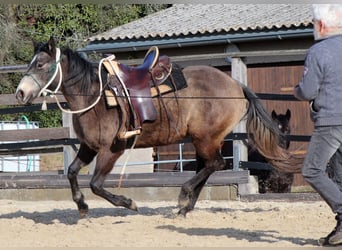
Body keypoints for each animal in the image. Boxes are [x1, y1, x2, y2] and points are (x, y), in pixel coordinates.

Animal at [14, 36, 302, 217]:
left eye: (40, 64)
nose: (20, 93)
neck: (94, 96)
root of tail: (236, 86)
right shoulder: (89, 147)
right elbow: (73, 173)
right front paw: (82, 207)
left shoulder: (112, 149)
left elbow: (96, 184)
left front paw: (129, 203)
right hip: (203, 139)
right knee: (208, 166)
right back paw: (185, 207)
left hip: (206, 138)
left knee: (215, 164)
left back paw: (183, 196)